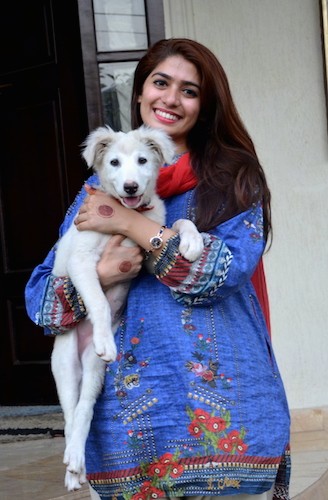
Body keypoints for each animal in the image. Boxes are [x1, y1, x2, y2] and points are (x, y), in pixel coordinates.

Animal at [51, 125, 204, 488]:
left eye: (143, 160)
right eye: (114, 163)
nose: (131, 186)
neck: (128, 216)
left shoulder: (148, 251)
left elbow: (176, 226)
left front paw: (192, 241)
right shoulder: (81, 262)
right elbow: (99, 302)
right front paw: (106, 337)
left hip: (94, 370)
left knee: (85, 408)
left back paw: (78, 463)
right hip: (64, 365)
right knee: (69, 415)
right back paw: (72, 467)